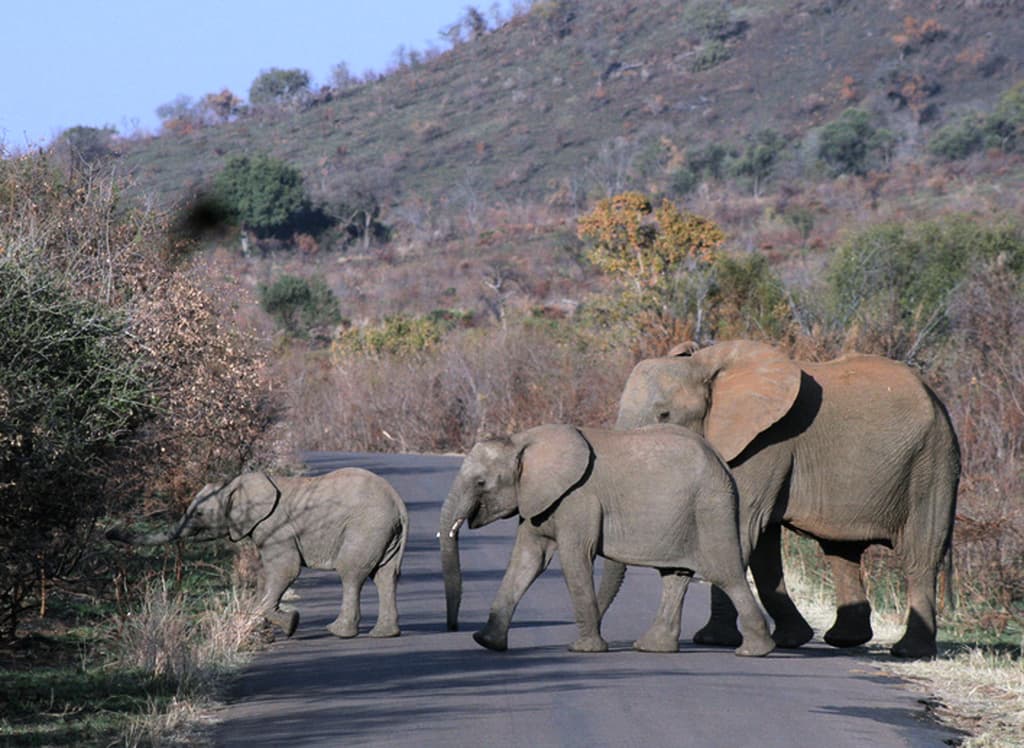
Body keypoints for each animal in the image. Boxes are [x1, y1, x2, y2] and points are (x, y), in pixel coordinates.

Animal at [108, 468, 408, 639]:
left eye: (200, 513)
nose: (110, 532)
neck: (234, 485)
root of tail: (398, 503)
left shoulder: (276, 528)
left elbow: (286, 570)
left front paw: (291, 624)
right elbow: (269, 574)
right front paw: (273, 630)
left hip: (366, 527)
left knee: (351, 573)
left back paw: (338, 632)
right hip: (384, 533)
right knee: (385, 576)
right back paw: (384, 634)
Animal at [439, 423, 775, 657]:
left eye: (481, 483)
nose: (452, 628)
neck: (521, 441)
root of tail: (722, 462)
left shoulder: (577, 498)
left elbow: (574, 558)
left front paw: (583, 649)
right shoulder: (539, 500)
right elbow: (528, 560)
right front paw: (486, 642)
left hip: (710, 507)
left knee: (725, 573)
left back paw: (755, 652)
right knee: (675, 576)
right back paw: (652, 647)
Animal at [613, 339, 960, 658]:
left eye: (664, 414)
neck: (703, 364)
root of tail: (939, 402)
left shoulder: (765, 443)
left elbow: (739, 530)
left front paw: (712, 641)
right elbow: (761, 545)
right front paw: (789, 640)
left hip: (930, 466)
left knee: (920, 556)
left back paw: (909, 652)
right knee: (841, 552)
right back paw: (845, 640)